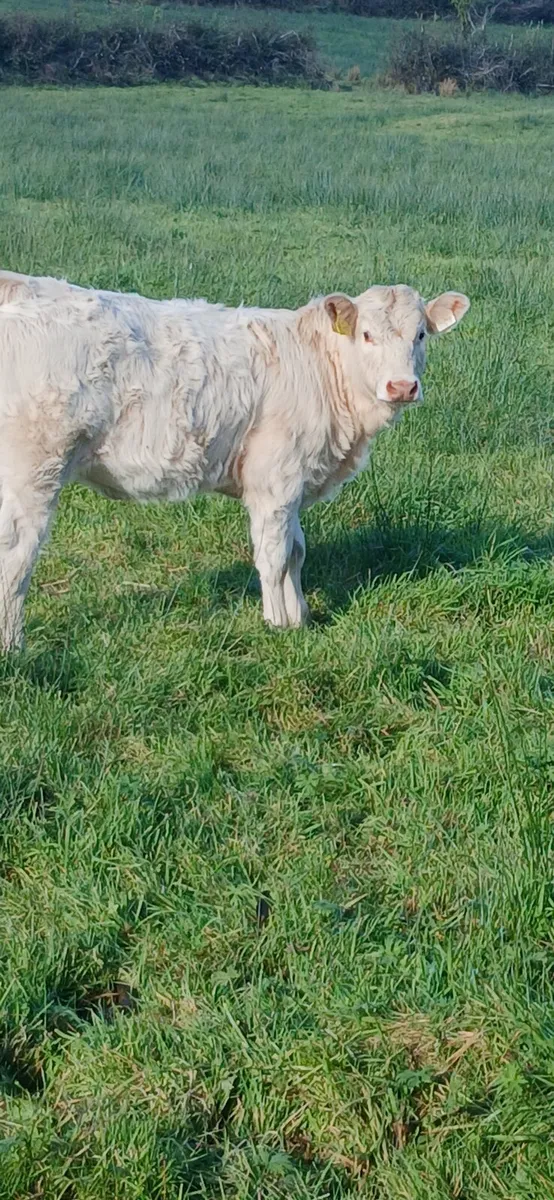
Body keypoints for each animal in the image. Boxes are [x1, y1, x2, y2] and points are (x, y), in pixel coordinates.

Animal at [0, 270, 469, 649]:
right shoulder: (274, 478)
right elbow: (275, 556)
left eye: (420, 335)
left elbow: (297, 551)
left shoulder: (293, 483)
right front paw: (278, 624)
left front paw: (301, 619)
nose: (401, 386)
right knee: (16, 556)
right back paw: (13, 647)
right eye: (368, 335)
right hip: (34, 470)